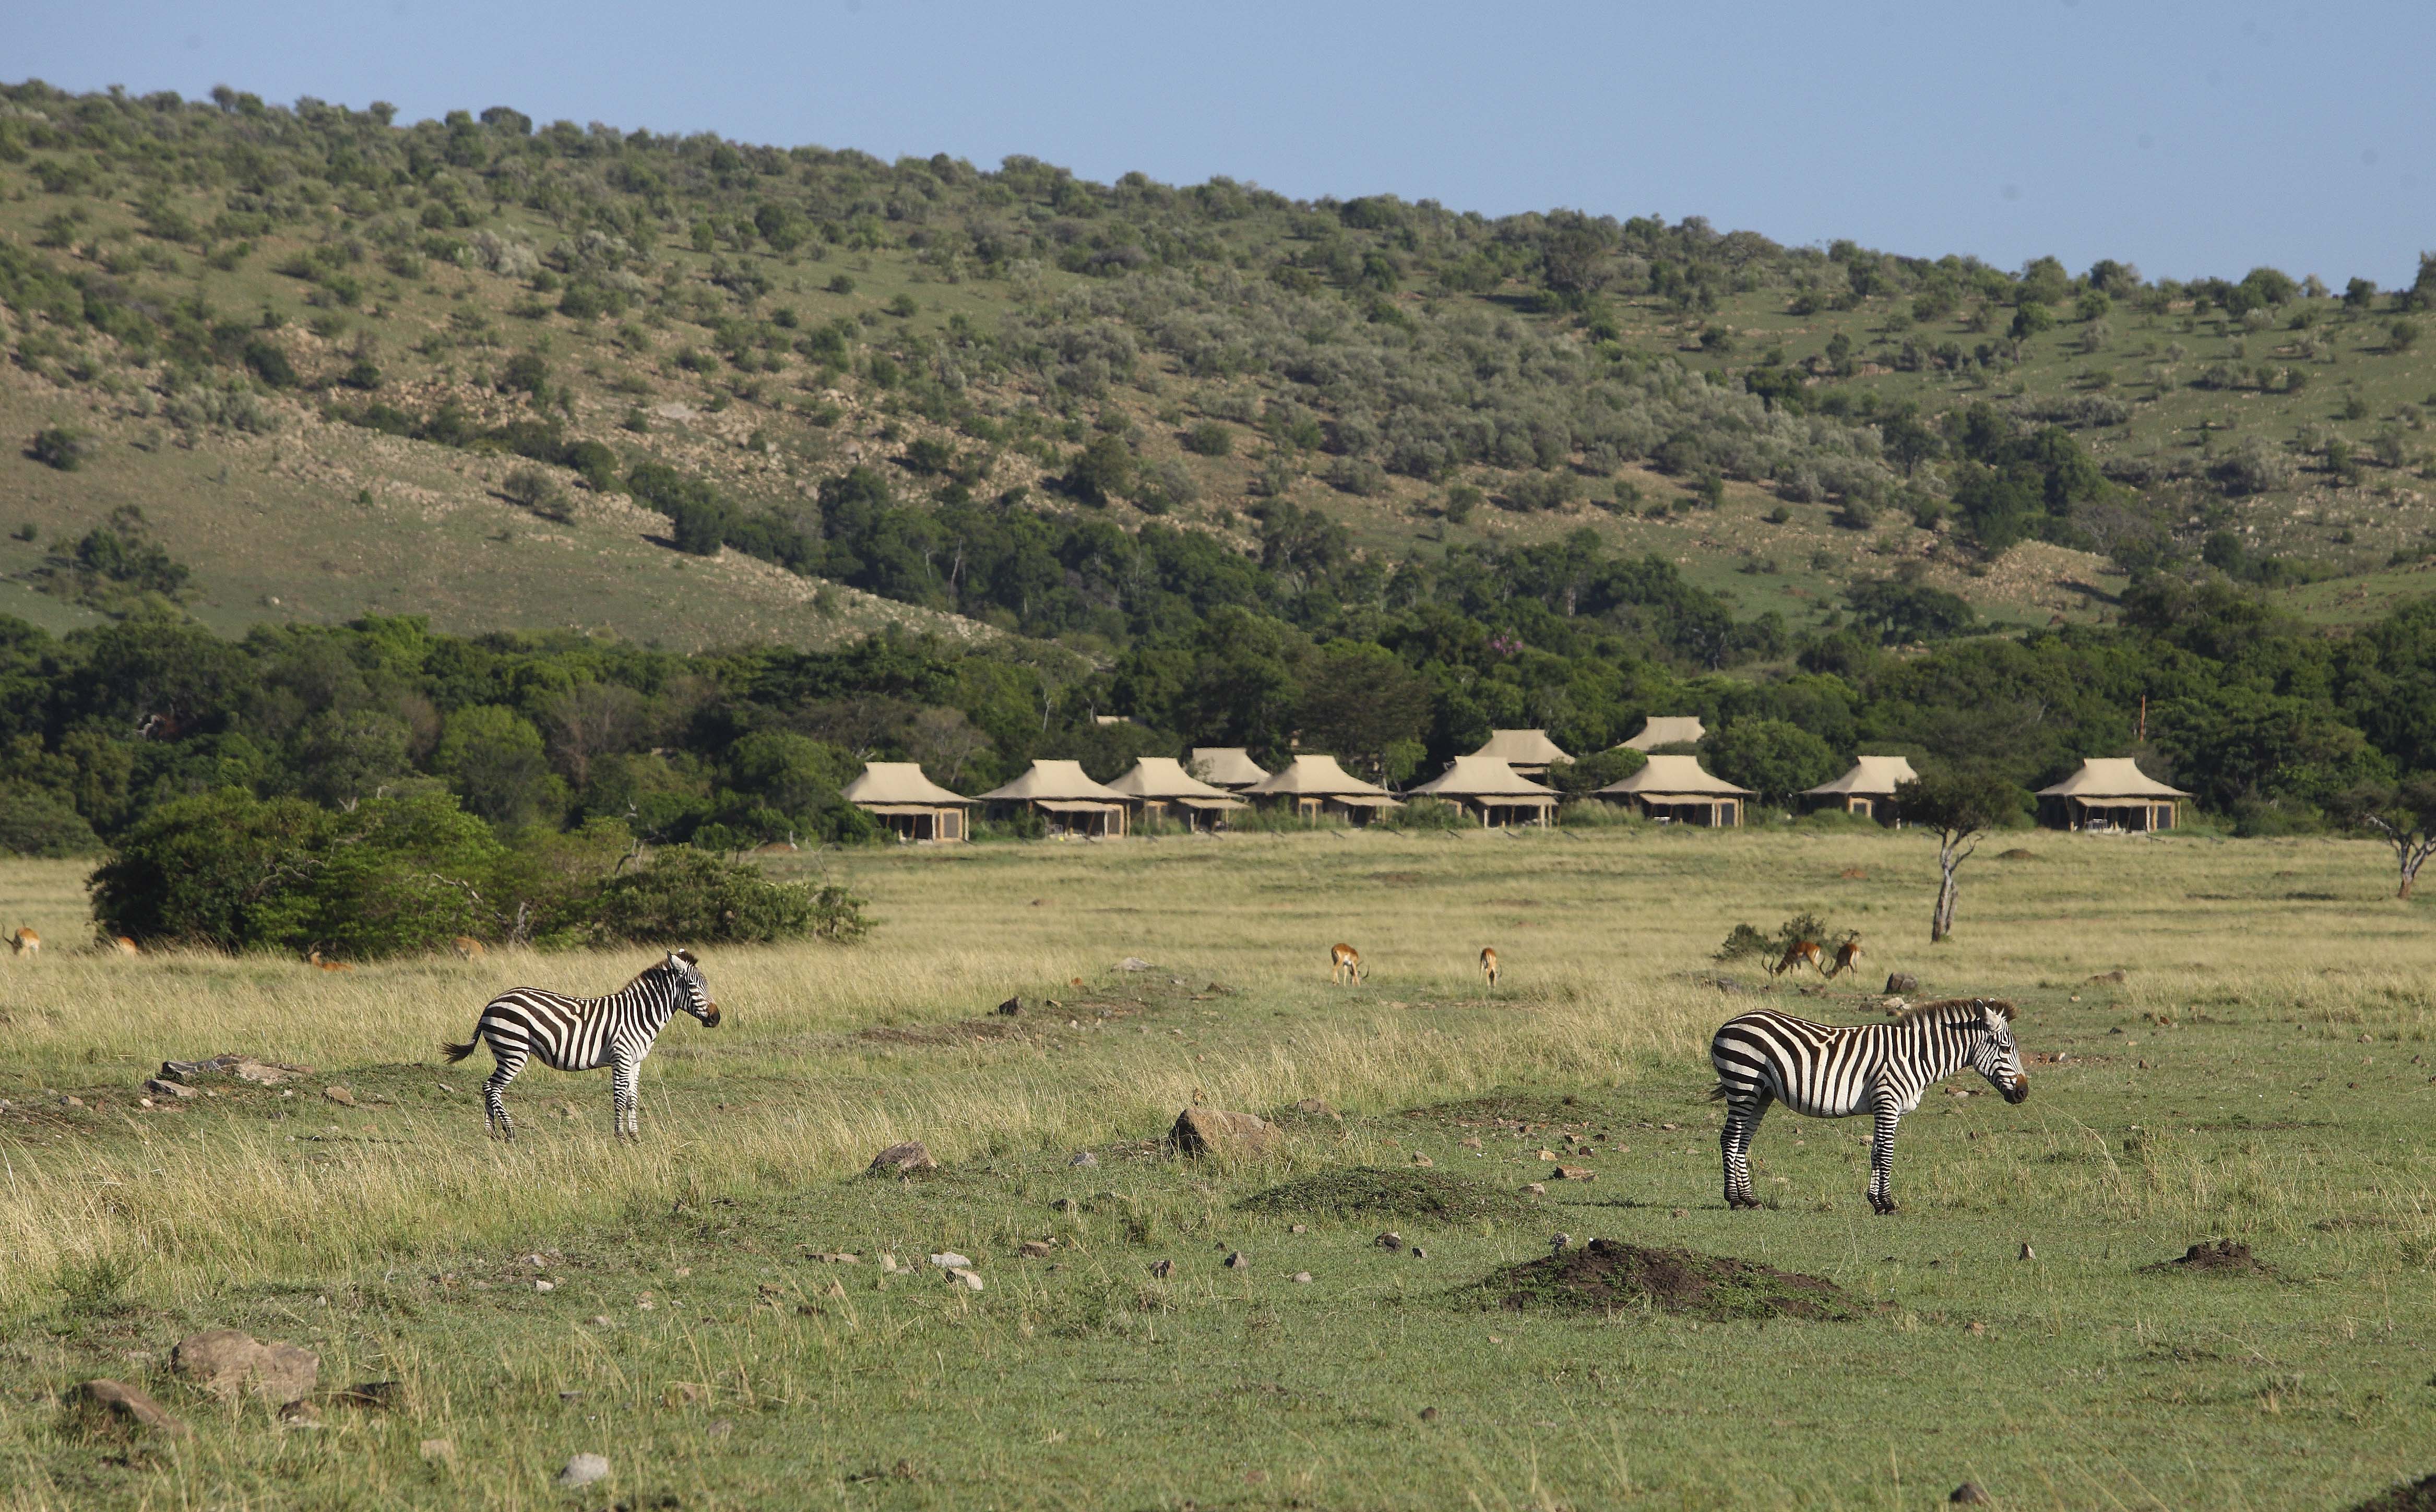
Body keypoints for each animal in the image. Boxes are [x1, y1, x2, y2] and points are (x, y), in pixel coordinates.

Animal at [441, 951, 721, 1141]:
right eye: (694, 986)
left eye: (707, 985)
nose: (717, 1018)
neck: (639, 1014)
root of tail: (492, 1002)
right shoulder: (621, 1057)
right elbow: (619, 1098)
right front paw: (621, 1138)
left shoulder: (636, 1061)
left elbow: (632, 1099)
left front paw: (635, 1136)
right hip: (513, 1050)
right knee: (492, 1087)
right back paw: (509, 1131)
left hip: (505, 1053)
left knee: (490, 1088)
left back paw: (494, 1134)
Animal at [1707, 998, 2028, 1214]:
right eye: (2005, 1048)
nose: (2024, 1093)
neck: (1914, 1056)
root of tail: (1729, 1024)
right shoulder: (1887, 1100)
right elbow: (1886, 1155)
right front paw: (1888, 1204)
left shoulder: (1887, 1107)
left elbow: (1876, 1153)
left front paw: (1876, 1202)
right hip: (1743, 1083)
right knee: (1729, 1139)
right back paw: (1734, 1200)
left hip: (1762, 1092)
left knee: (1743, 1140)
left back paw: (1750, 1199)